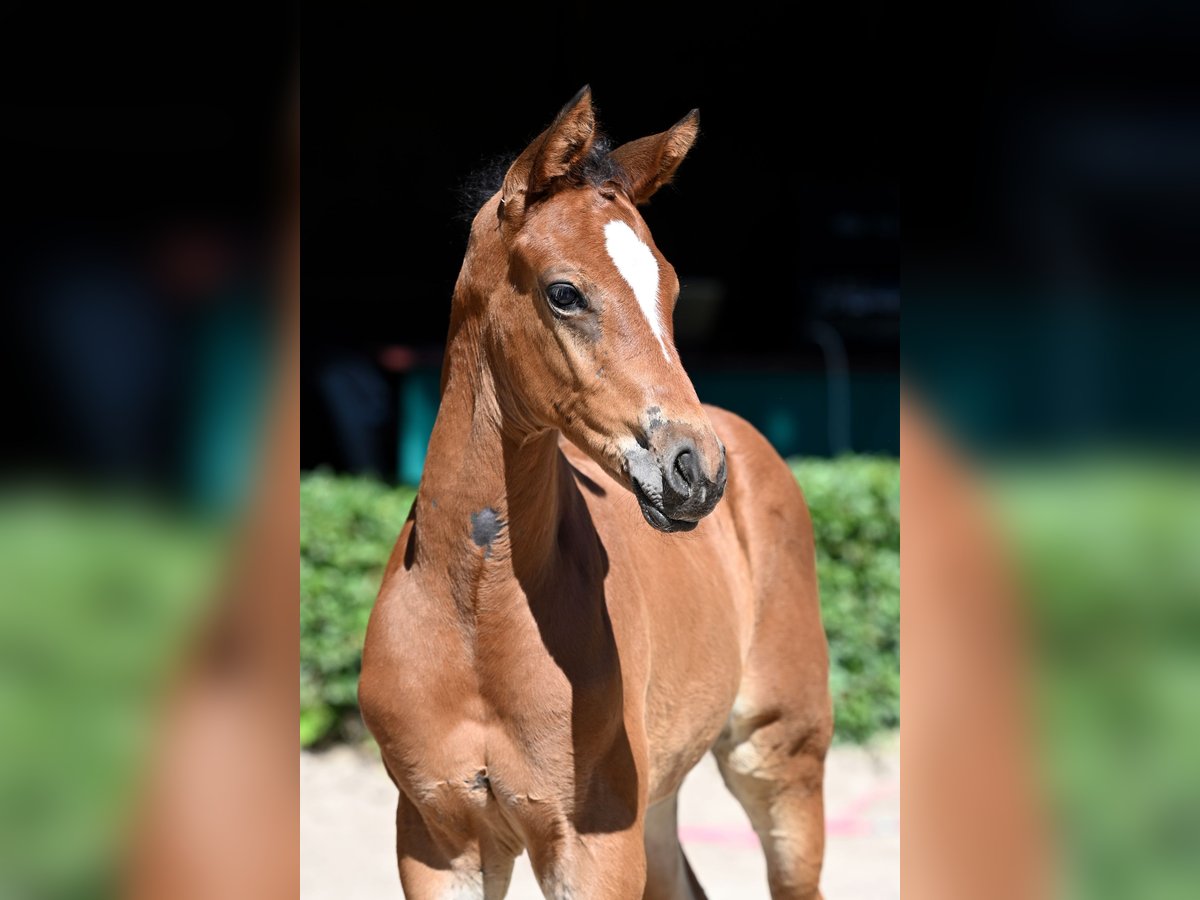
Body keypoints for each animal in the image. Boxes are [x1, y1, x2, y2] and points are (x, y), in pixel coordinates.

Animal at [357, 86, 835, 900]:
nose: (696, 470)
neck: (476, 617)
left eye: (671, 290)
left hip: (780, 758)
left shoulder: (593, 845)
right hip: (661, 792)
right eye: (563, 292)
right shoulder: (435, 838)